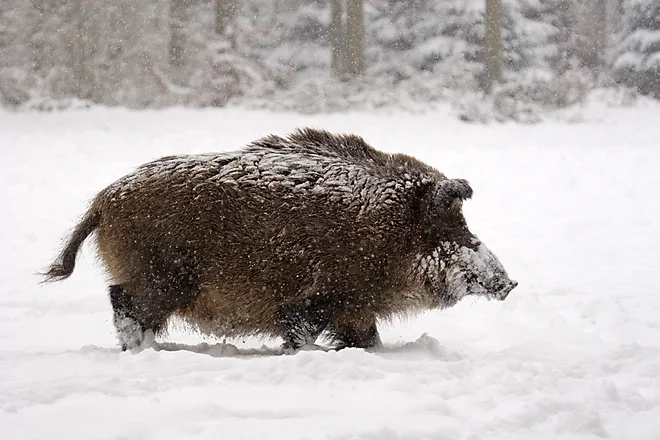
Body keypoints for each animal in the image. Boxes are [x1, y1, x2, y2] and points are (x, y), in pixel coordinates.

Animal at [43, 128, 517, 351]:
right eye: (452, 229)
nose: (510, 283)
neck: (389, 233)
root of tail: (103, 200)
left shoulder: (356, 309)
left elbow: (368, 341)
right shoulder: (324, 294)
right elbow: (302, 329)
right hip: (162, 277)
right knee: (121, 301)